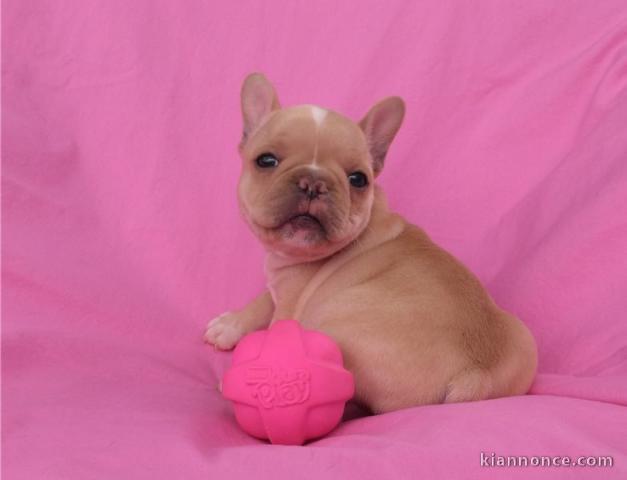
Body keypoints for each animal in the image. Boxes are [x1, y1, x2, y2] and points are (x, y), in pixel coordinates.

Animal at [204, 73, 536, 414]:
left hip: (328, 320)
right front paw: (231, 325)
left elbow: (273, 318)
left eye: (358, 179)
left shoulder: (290, 300)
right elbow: (262, 300)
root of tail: (474, 373)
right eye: (266, 160)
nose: (314, 182)